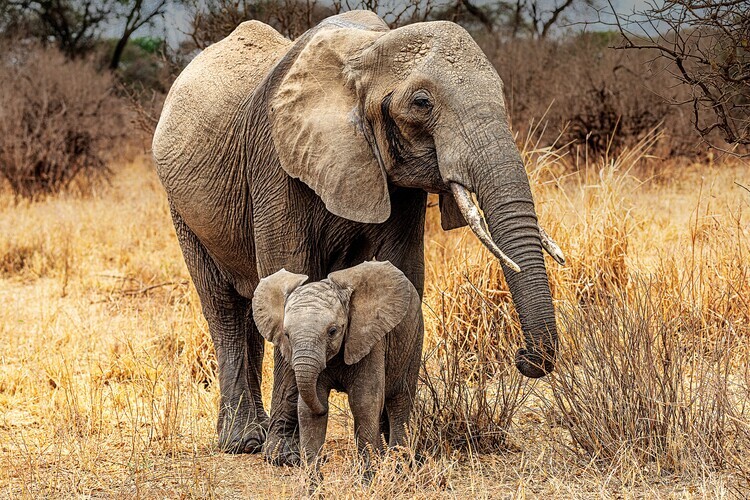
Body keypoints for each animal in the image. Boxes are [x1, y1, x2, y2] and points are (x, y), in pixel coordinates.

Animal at [251, 260, 422, 470]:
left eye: (333, 331)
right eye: (287, 335)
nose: (326, 409)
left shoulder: (369, 340)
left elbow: (364, 402)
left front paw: (368, 475)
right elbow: (307, 411)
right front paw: (313, 478)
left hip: (413, 338)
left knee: (400, 400)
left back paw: (400, 465)